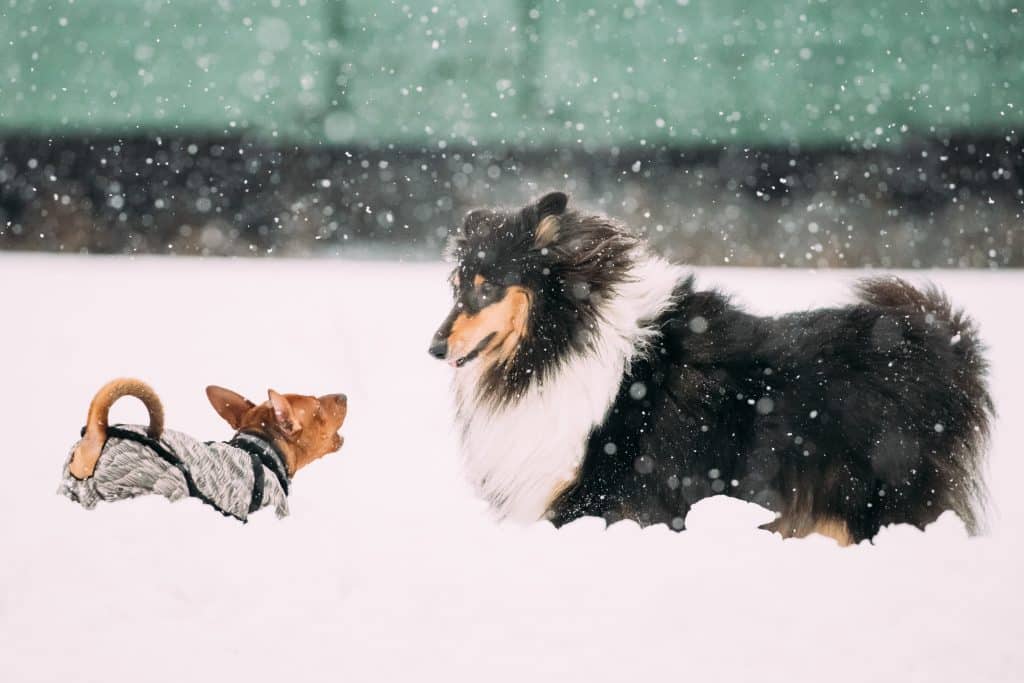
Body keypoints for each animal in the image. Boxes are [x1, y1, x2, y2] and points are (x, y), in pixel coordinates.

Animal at [425, 192, 991, 544]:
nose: (434, 347)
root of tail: (940, 343)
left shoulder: (602, 497)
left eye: (487, 287)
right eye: (455, 286)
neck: (566, 339)